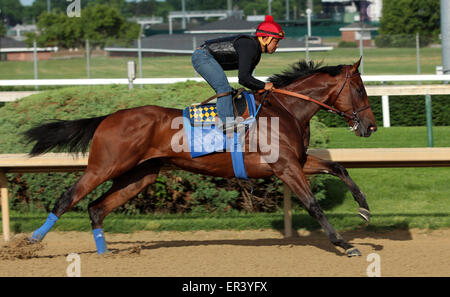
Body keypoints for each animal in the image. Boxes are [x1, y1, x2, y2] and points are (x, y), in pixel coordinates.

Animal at [23, 58, 376, 256]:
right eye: (360, 90)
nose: (371, 125)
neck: (286, 110)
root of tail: (108, 117)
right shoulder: (285, 167)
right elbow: (314, 205)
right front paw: (344, 244)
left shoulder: (297, 161)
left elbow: (339, 167)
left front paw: (364, 209)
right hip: (105, 166)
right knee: (67, 199)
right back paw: (29, 242)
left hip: (139, 175)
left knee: (96, 209)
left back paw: (104, 253)